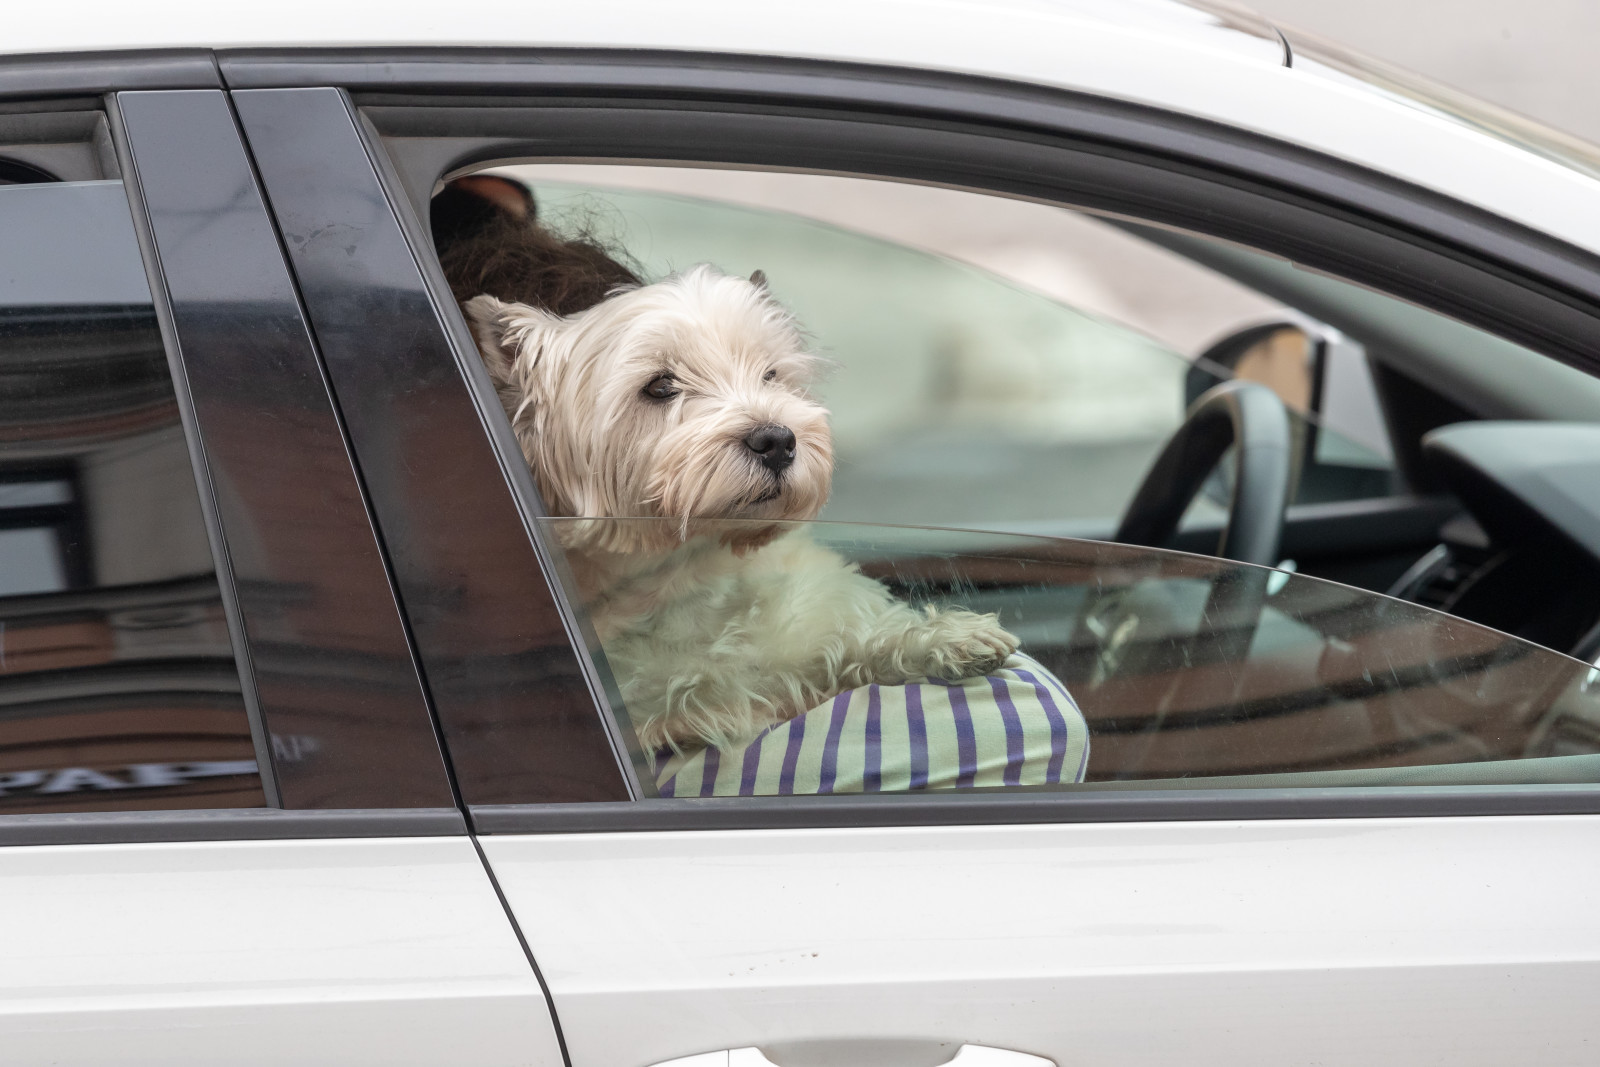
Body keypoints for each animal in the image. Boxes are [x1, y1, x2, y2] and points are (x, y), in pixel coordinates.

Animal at [457, 207, 1017, 751]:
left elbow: (847, 635)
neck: (683, 574)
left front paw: (948, 638)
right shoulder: (667, 697)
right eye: (659, 386)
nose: (778, 441)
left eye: (769, 373)